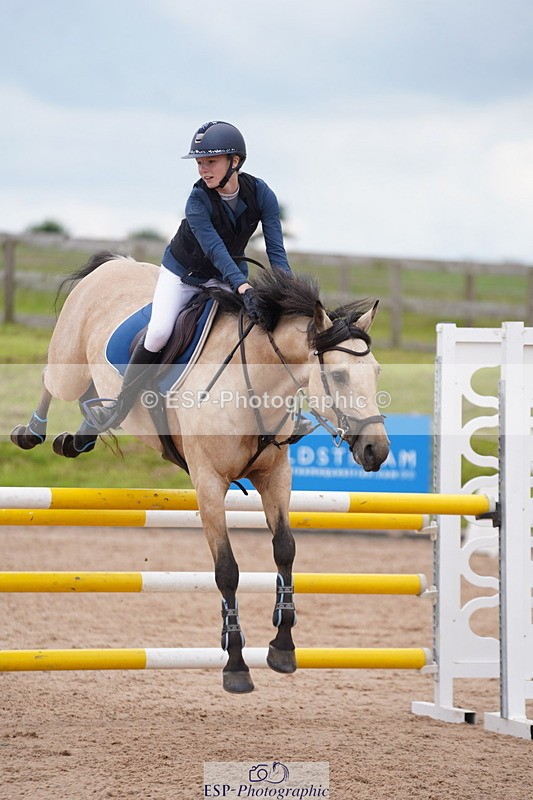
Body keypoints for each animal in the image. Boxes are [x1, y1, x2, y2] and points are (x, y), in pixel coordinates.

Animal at [11, 252, 390, 693]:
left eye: (376, 372)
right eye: (340, 376)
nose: (377, 451)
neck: (255, 385)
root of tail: (115, 263)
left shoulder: (275, 475)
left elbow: (285, 549)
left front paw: (282, 646)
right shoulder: (209, 482)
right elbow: (227, 570)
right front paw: (236, 664)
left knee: (95, 399)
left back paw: (83, 434)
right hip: (68, 362)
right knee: (51, 382)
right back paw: (31, 432)